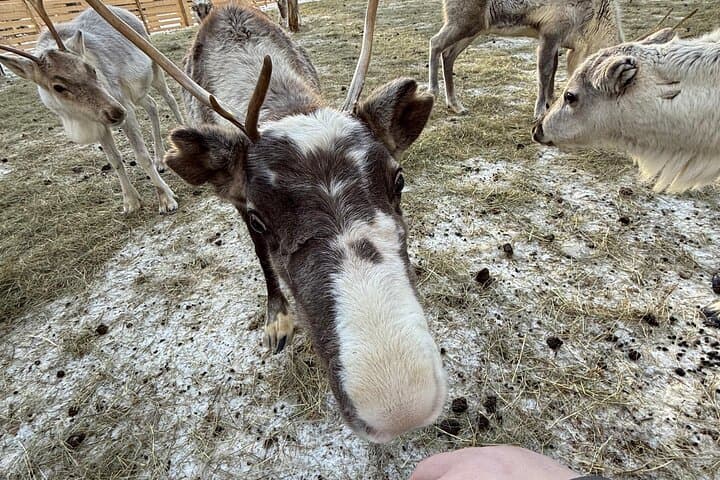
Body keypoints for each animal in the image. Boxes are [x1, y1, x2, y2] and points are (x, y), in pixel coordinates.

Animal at [0, 2, 183, 214]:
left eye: (91, 69)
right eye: (58, 87)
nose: (116, 112)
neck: (77, 119)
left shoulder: (122, 105)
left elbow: (141, 156)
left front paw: (166, 199)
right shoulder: (100, 122)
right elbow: (115, 160)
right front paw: (130, 202)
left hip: (153, 70)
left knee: (170, 97)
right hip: (136, 94)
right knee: (152, 105)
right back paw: (160, 159)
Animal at [84, 0, 447, 443]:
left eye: (399, 179)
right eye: (259, 219)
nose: (399, 406)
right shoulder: (238, 203)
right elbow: (263, 260)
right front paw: (278, 318)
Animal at [428, 0, 625, 117]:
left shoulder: (557, 40)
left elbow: (553, 69)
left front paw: (551, 100)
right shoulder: (550, 32)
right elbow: (544, 72)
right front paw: (539, 111)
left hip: (474, 28)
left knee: (448, 54)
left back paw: (455, 105)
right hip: (463, 22)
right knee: (435, 43)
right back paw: (433, 91)